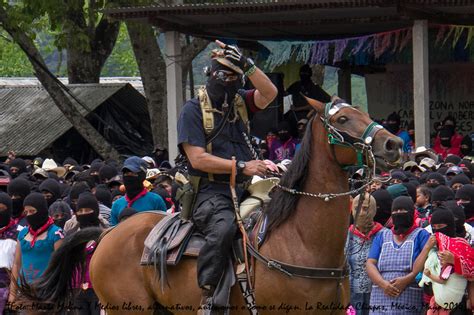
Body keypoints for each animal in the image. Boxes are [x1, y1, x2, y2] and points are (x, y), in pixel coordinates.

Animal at [20, 97, 402, 314]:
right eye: (342, 120)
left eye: (362, 111)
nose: (394, 144)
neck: (302, 240)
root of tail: (108, 233)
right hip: (126, 309)